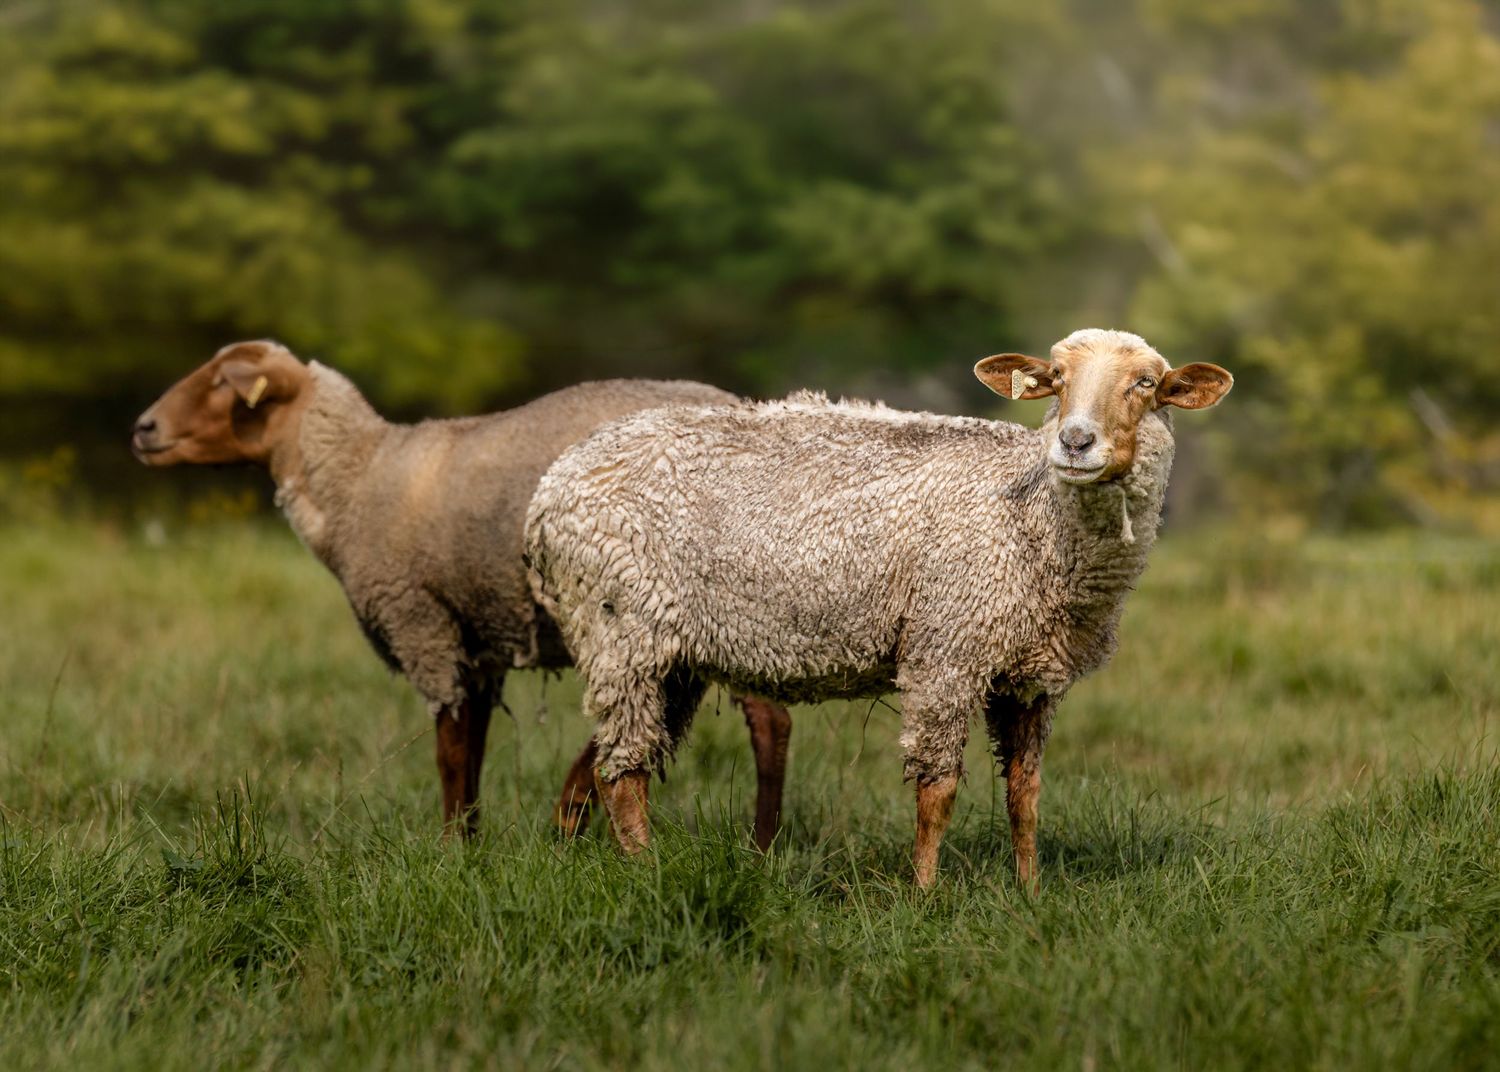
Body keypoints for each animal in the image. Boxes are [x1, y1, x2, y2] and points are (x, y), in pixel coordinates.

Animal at [131, 340, 793, 845]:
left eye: (223, 381)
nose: (142, 428)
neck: (356, 479)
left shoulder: (421, 623)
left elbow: (448, 752)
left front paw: (450, 848)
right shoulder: (473, 639)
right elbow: (472, 747)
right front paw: (471, 842)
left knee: (767, 720)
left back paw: (756, 846)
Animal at [524, 328, 1232, 886]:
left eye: (1146, 383)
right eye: (1055, 380)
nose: (1076, 443)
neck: (1032, 516)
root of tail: (551, 489)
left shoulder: (1030, 675)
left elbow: (1025, 795)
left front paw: (1030, 895)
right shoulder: (947, 648)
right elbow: (937, 794)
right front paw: (924, 898)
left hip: (667, 656)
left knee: (610, 761)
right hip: (620, 626)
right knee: (622, 769)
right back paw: (647, 871)